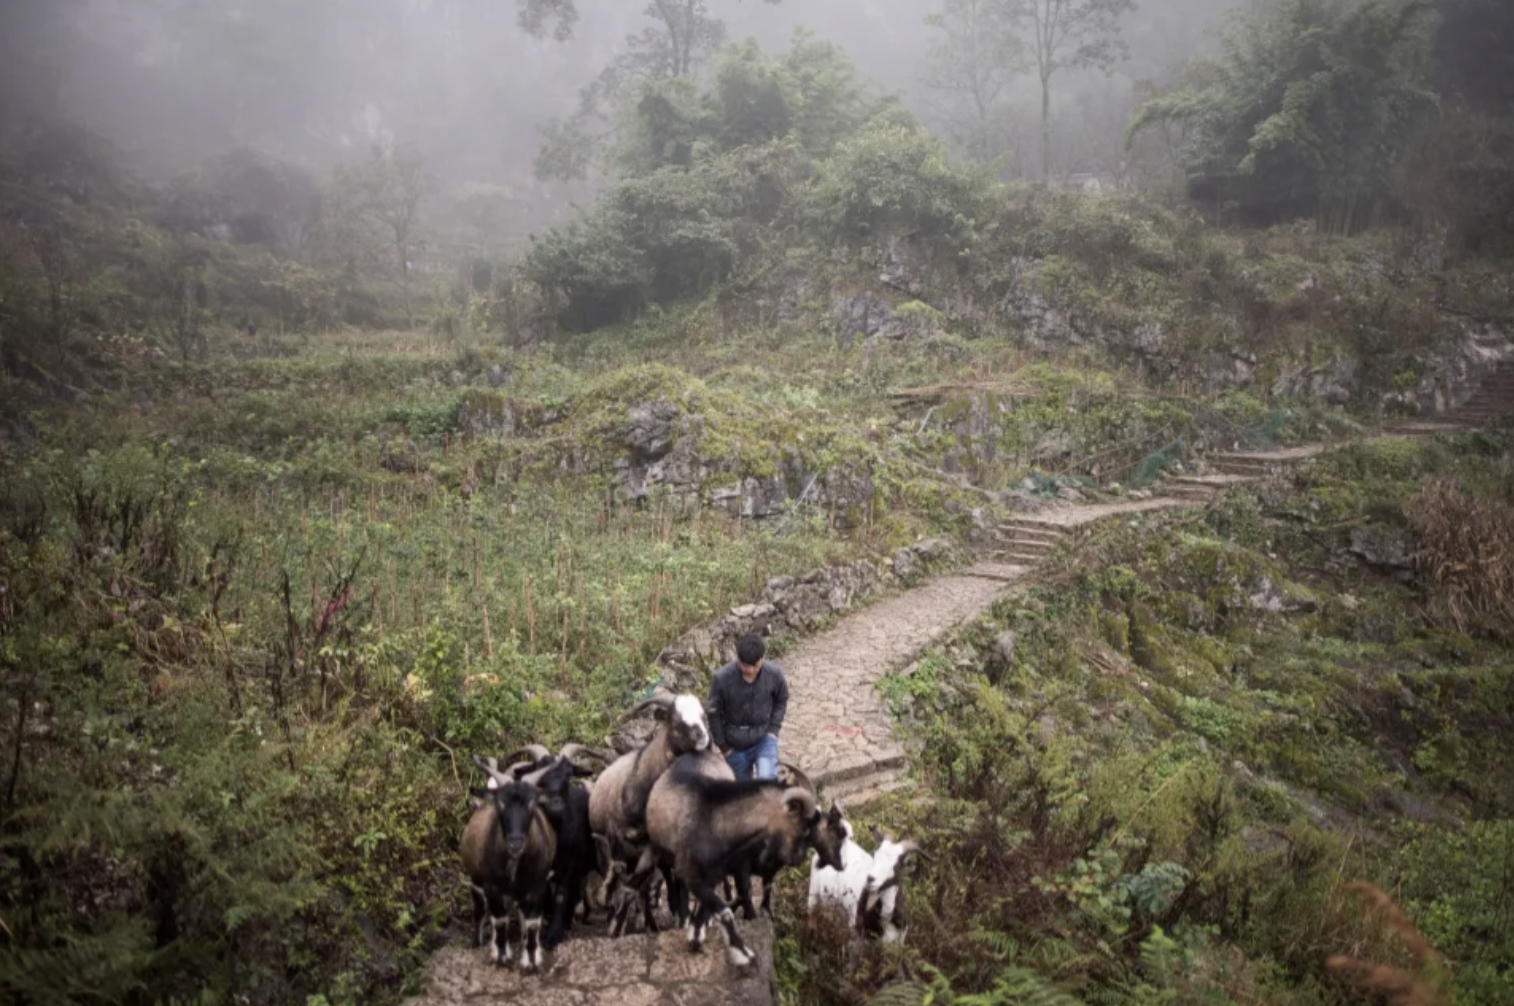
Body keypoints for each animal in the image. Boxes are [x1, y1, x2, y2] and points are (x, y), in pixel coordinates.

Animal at [460, 757, 563, 969]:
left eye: (532, 803)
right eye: (501, 803)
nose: (516, 842)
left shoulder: (538, 887)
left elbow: (532, 923)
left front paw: (531, 960)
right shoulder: (492, 888)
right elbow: (500, 921)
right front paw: (500, 955)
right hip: (474, 881)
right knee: (479, 910)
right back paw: (477, 942)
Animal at [635, 754, 853, 969]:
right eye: (806, 828)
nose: (797, 858)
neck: (714, 823)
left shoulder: (726, 871)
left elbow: (734, 899)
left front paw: (697, 934)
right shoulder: (694, 873)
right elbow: (726, 908)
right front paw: (743, 953)